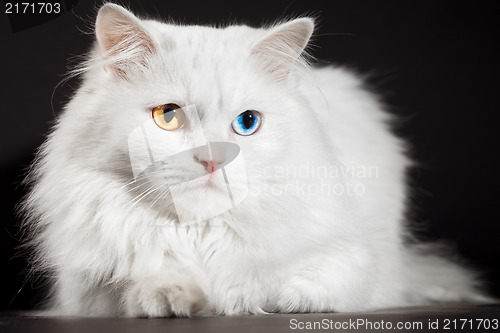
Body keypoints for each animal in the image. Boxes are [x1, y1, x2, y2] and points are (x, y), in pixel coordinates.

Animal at [20, 2, 492, 316]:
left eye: (247, 123)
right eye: (168, 116)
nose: (213, 160)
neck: (202, 232)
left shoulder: (358, 260)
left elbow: (312, 285)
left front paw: (272, 299)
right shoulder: (84, 291)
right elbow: (145, 281)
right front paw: (173, 298)